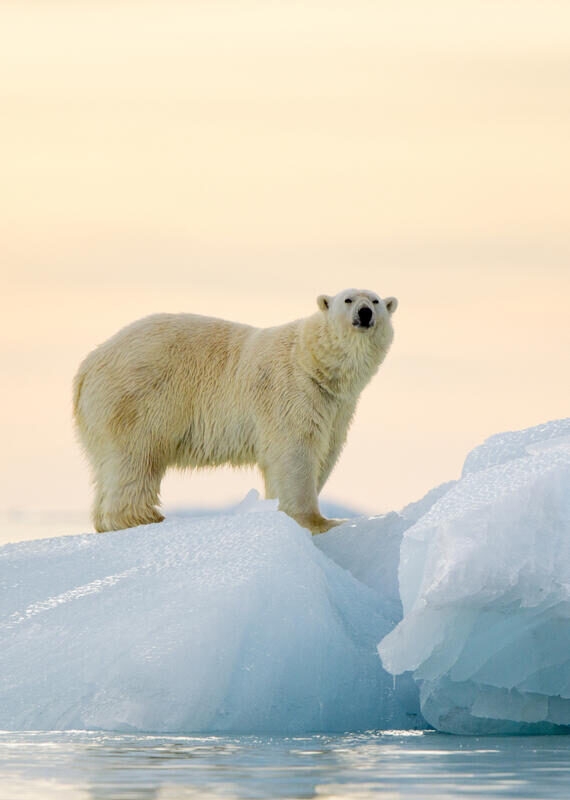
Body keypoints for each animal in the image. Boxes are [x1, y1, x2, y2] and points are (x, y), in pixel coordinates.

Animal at [73, 288, 398, 535]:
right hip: (139, 398)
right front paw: (320, 521)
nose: (365, 313)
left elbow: (326, 450)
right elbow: (295, 451)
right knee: (137, 457)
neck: (314, 363)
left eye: (376, 301)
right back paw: (145, 518)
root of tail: (88, 365)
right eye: (348, 299)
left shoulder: (337, 407)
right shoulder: (291, 392)